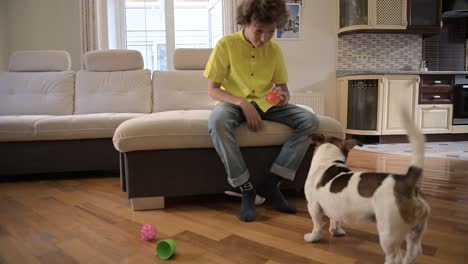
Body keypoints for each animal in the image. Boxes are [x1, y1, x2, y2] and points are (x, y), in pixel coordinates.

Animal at [306, 111, 430, 264]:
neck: (329, 161)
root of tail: (406, 182)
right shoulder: (333, 206)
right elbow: (334, 219)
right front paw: (336, 231)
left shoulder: (313, 206)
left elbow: (317, 225)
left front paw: (313, 238)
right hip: (415, 230)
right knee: (414, 251)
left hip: (388, 231)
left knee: (395, 257)